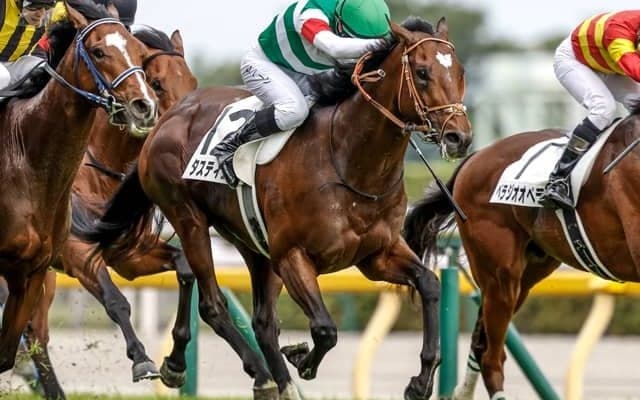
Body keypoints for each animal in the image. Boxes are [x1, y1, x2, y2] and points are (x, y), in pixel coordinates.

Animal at [5, 25, 196, 394]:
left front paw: (175, 363)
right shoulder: (77, 251)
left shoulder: (130, 254)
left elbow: (185, 268)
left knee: (35, 332)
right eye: (158, 82)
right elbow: (116, 299)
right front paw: (142, 359)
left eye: (193, 82)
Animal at [72, 17, 471, 400]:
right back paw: (244, 374)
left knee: (263, 322)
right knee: (214, 304)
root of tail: (168, 120)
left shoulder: (377, 254)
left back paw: (263, 380)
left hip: (252, 242)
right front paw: (302, 360)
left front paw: (420, 381)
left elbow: (429, 283)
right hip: (190, 220)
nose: (459, 137)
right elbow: (325, 329)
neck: (348, 159)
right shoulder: (292, 255)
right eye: (422, 72)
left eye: (460, 72)